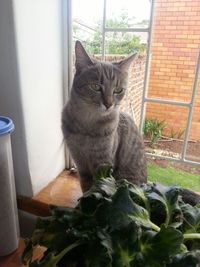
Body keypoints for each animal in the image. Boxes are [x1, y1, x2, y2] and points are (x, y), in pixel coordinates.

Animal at [61, 41, 146, 193]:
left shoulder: (103, 164)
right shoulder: (80, 162)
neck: (87, 125)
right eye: (96, 86)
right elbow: (86, 187)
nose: (109, 104)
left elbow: (98, 187)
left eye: (118, 90)